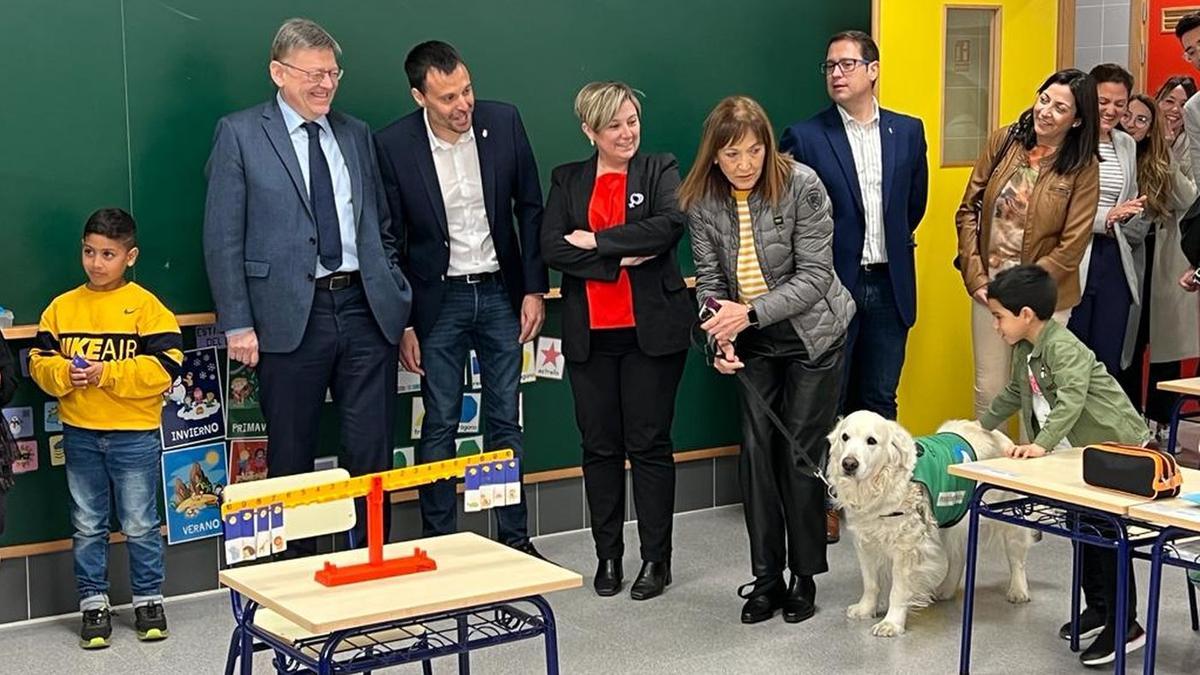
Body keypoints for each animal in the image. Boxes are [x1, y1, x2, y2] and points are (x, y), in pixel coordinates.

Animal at [825, 408, 1032, 634]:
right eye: (845, 437)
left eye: (871, 441)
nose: (849, 464)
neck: (879, 485)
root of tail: (1001, 437)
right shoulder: (865, 540)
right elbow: (870, 582)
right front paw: (865, 609)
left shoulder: (906, 547)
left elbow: (898, 590)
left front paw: (892, 623)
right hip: (952, 520)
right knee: (959, 557)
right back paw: (946, 589)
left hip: (1008, 521)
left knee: (1017, 559)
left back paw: (1018, 590)